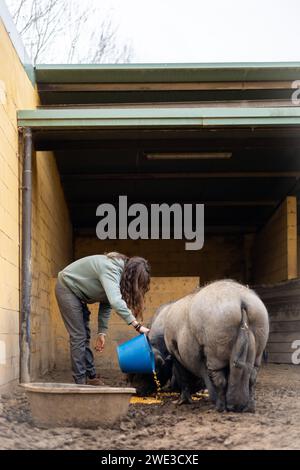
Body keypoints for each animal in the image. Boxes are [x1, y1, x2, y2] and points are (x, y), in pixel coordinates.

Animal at [164, 280, 270, 412]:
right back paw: (249, 408)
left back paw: (220, 408)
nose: (237, 408)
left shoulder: (174, 353)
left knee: (220, 380)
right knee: (252, 377)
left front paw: (182, 402)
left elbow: (183, 377)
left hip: (217, 342)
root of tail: (240, 299)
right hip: (260, 333)